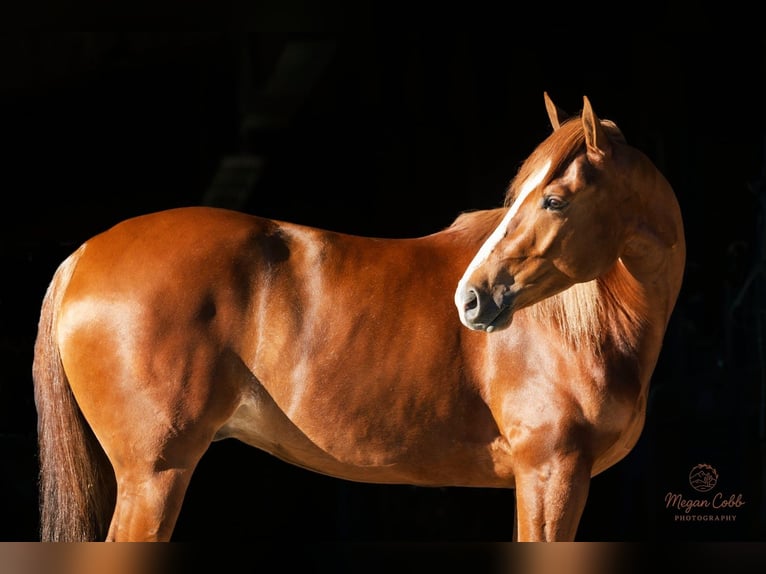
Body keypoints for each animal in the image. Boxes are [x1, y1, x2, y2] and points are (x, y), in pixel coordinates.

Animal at [32, 93, 685, 542]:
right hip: (154, 475)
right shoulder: (551, 473)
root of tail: (84, 254)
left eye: (553, 200)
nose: (471, 299)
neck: (585, 325)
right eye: (525, 197)